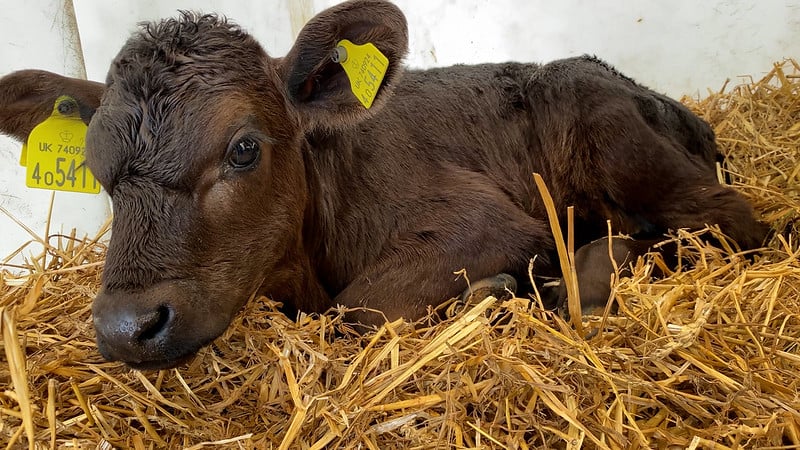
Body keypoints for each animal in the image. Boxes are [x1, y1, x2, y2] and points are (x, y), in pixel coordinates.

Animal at [0, 0, 764, 370]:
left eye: (244, 149)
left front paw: (494, 293)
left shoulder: (483, 222)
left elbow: (354, 312)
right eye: (99, 171)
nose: (126, 327)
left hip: (625, 145)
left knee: (733, 223)